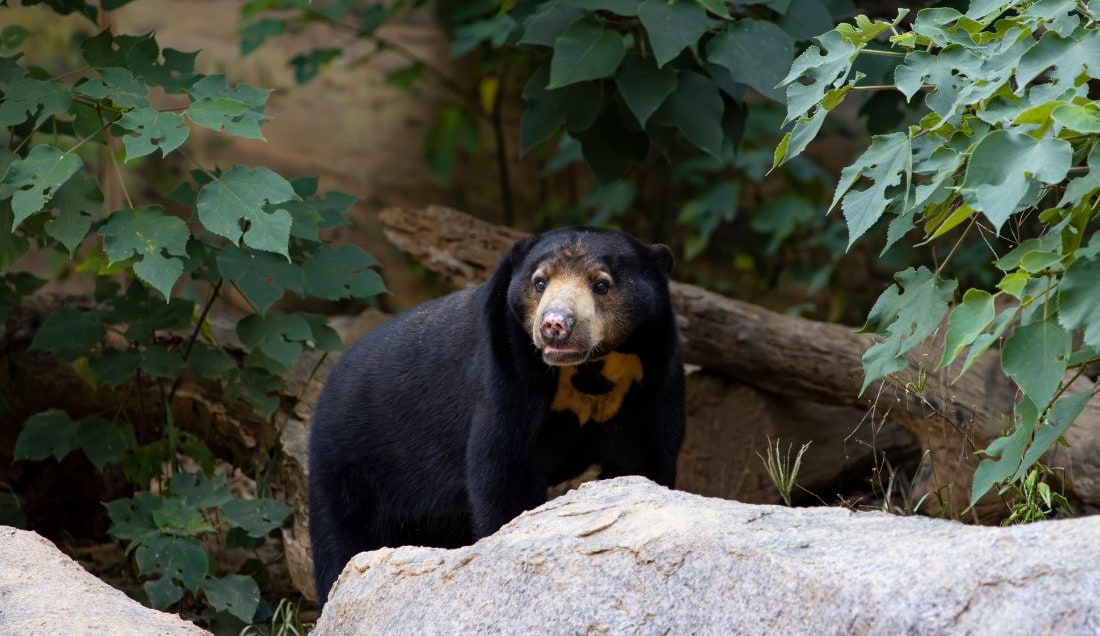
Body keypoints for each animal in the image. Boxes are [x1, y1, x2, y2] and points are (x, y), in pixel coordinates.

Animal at [307, 227, 685, 607]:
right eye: (539, 282)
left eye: (601, 284)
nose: (554, 325)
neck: (588, 369)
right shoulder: (506, 371)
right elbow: (502, 468)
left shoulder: (652, 376)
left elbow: (645, 458)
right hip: (350, 469)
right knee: (341, 545)